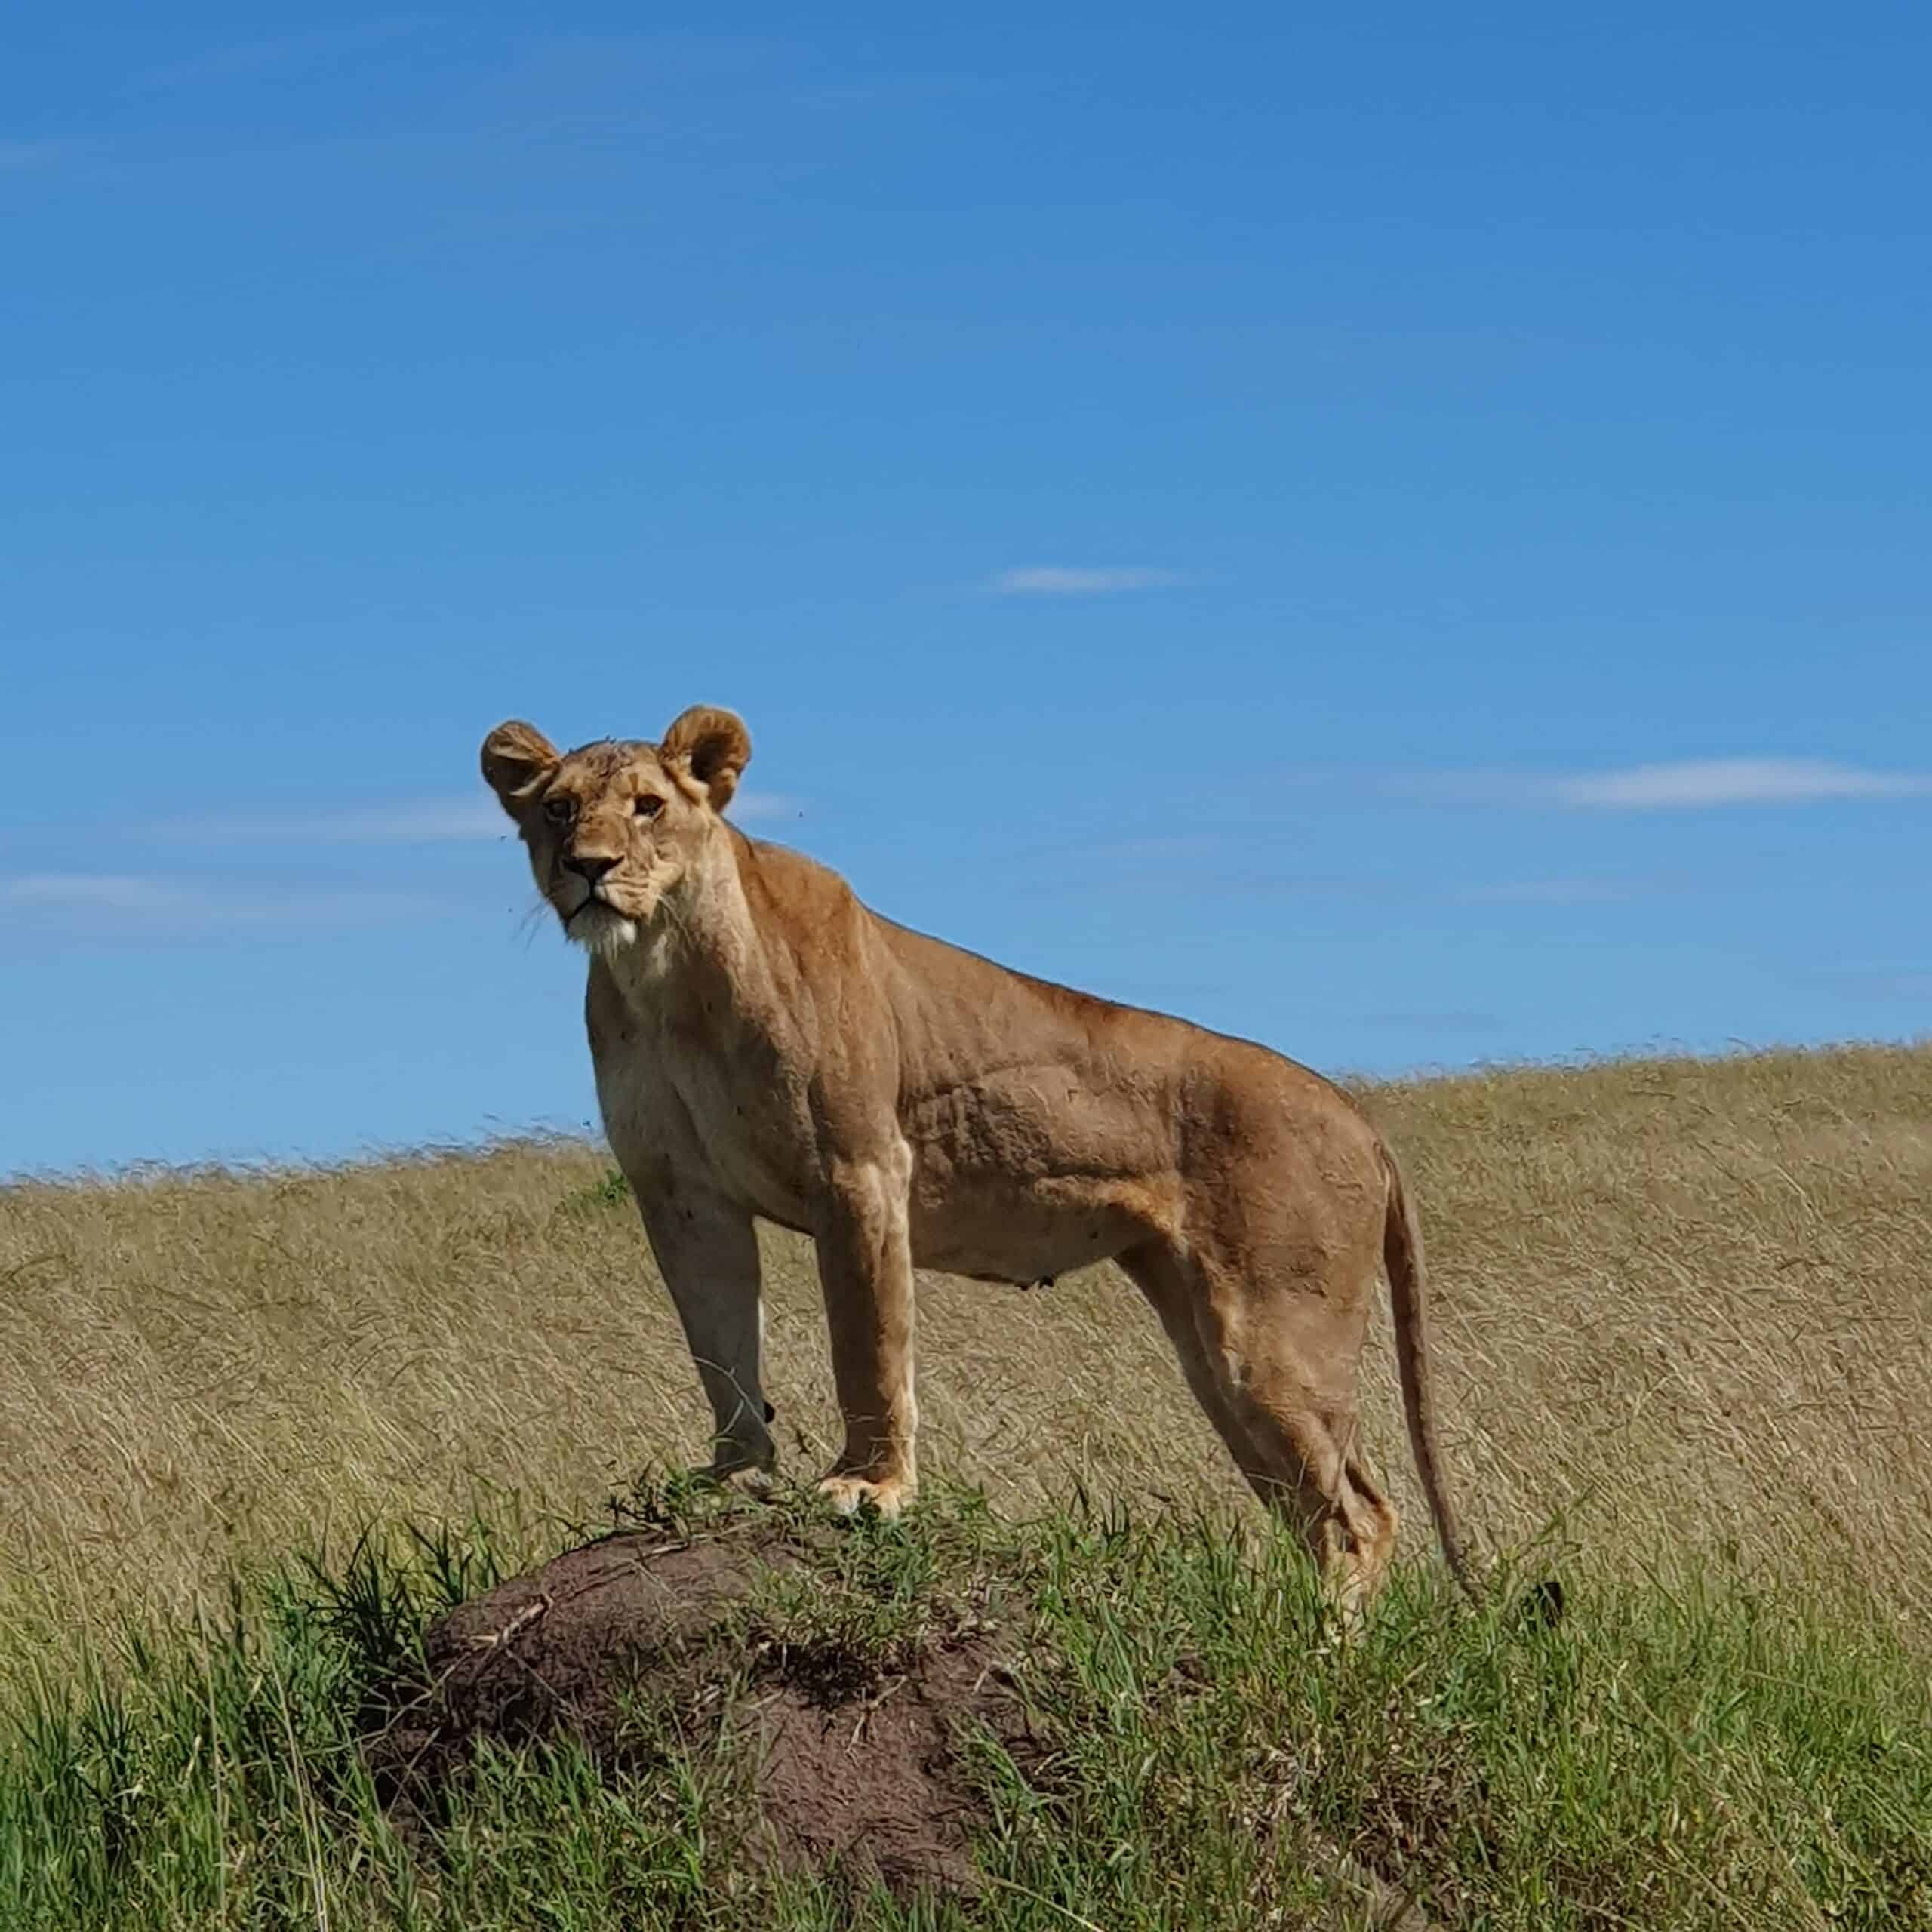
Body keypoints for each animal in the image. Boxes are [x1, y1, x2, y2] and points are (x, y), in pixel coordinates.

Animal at [481, 705, 1474, 1609]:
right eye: (559, 810)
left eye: (648, 806)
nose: (588, 867)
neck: (664, 972)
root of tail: (1362, 1119)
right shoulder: (682, 1192)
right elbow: (719, 1346)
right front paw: (731, 1475)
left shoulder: (859, 1168)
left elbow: (869, 1339)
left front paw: (869, 1488)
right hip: (1208, 1346)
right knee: (1316, 1507)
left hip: (1272, 1332)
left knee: (1360, 1516)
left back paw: (1326, 1650)